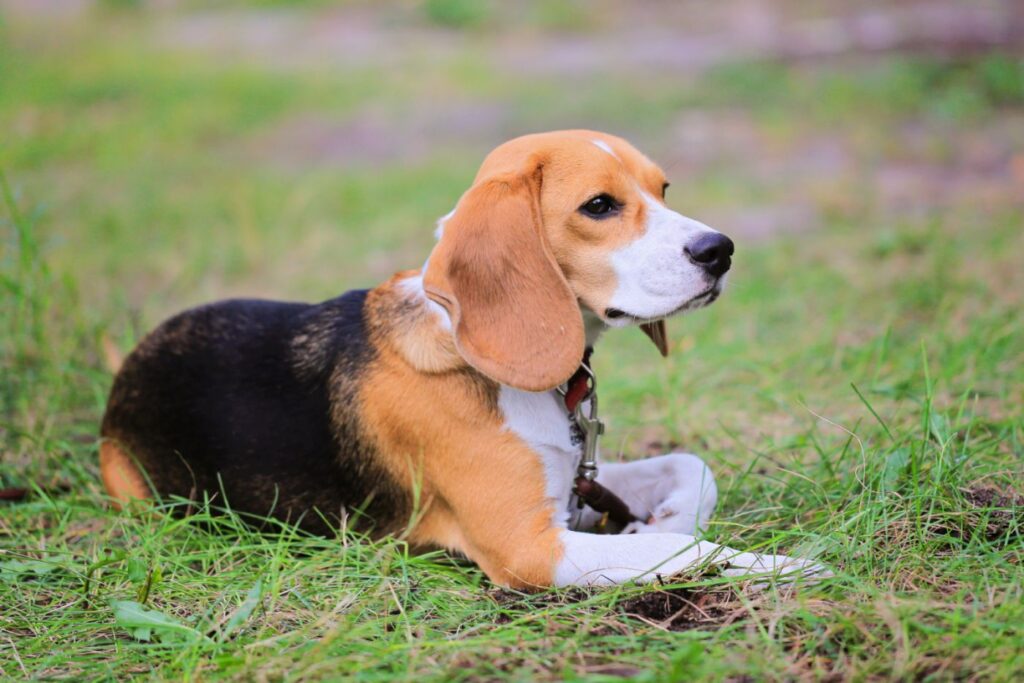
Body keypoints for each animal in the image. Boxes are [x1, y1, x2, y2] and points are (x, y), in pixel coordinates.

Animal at [101, 131, 823, 589]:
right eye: (599, 206)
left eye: (663, 188)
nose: (720, 249)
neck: (478, 357)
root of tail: (129, 368)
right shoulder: (530, 547)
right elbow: (674, 549)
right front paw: (779, 565)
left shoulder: (571, 479)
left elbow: (690, 466)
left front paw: (670, 514)